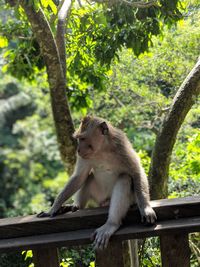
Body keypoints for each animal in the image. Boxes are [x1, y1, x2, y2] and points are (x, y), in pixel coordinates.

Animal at [37, 116, 156, 250]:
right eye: (78, 139)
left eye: (83, 138)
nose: (78, 150)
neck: (102, 150)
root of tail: (103, 201)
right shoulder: (85, 156)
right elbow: (79, 177)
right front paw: (53, 208)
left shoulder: (122, 146)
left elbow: (136, 172)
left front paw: (146, 208)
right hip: (98, 194)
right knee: (88, 177)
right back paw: (76, 206)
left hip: (129, 198)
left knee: (125, 179)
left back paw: (111, 224)